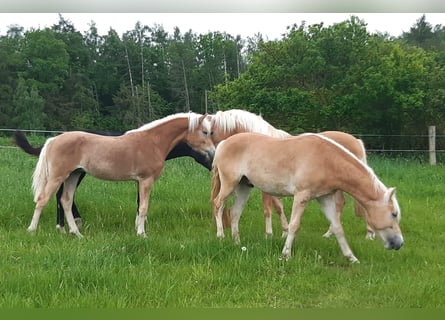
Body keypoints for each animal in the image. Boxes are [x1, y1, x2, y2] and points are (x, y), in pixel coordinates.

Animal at [27, 112, 215, 238]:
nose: (213, 152)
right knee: (42, 200)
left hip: (73, 175)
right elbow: (143, 207)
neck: (153, 142)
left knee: (66, 201)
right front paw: (142, 234)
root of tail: (53, 140)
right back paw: (32, 230)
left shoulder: (140, 181)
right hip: (58, 177)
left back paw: (77, 233)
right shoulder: (146, 180)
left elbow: (140, 207)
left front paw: (138, 230)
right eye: (205, 132)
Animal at [208, 109, 372, 238]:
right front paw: (284, 232)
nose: (213, 156)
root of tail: (357, 141)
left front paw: (271, 233)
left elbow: (268, 209)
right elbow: (278, 207)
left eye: (211, 132)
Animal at [209, 132, 402, 262]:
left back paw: (236, 241)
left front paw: (351, 257)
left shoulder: (325, 198)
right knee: (218, 205)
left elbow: (337, 227)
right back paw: (220, 236)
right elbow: (294, 226)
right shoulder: (302, 196)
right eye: (393, 214)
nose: (399, 244)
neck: (326, 159)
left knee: (234, 213)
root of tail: (224, 143)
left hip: (243, 187)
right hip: (229, 184)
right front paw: (285, 254)